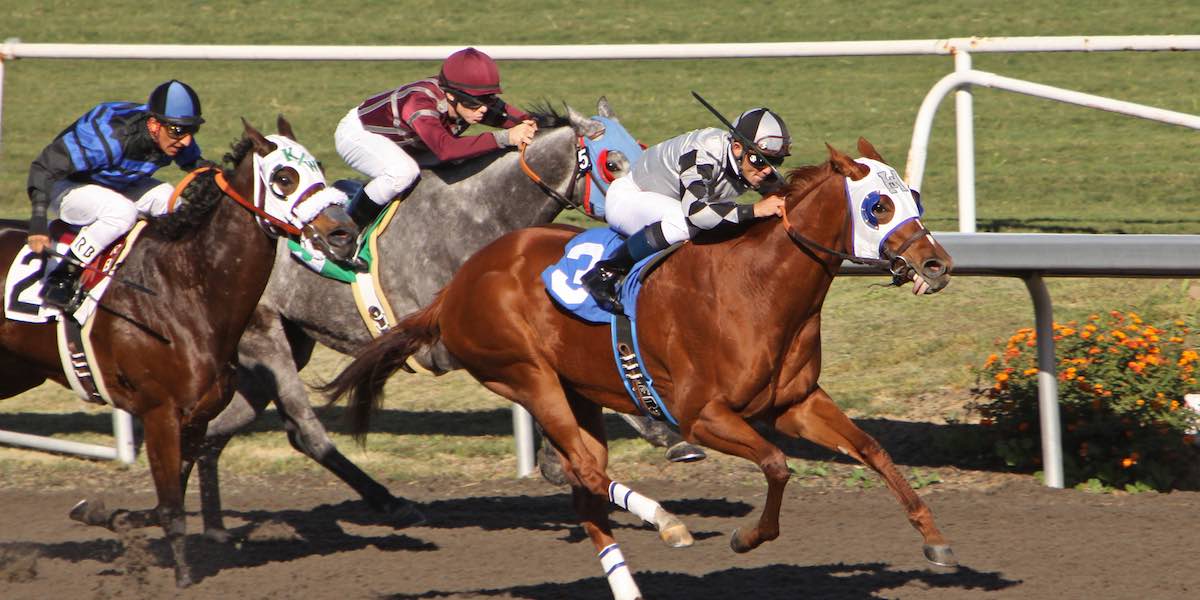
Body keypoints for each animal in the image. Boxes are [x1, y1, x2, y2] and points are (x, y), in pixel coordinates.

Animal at [0, 116, 354, 587]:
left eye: (319, 168)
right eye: (284, 178)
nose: (344, 233)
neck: (183, 288)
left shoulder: (196, 417)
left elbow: (163, 502)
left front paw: (100, 512)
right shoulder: (160, 413)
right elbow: (169, 505)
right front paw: (183, 576)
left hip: (15, 373)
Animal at [190, 98, 704, 538]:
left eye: (642, 150)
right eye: (612, 163)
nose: (667, 217)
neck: (477, 216)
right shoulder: (449, 345)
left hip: (275, 352)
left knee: (212, 432)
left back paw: (212, 529)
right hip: (265, 338)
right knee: (304, 431)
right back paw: (392, 504)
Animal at [324, 138, 956, 600]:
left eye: (915, 197)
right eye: (878, 206)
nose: (937, 264)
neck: (758, 286)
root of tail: (453, 290)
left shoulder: (794, 403)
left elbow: (873, 450)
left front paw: (937, 541)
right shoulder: (701, 416)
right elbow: (777, 466)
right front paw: (748, 537)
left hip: (577, 391)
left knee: (585, 486)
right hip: (525, 376)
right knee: (584, 470)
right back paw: (667, 522)